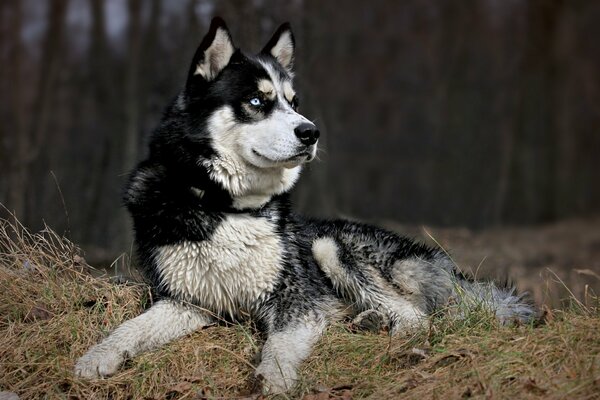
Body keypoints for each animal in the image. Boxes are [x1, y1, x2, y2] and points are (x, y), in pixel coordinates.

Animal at [72, 18, 536, 394]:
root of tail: (440, 262)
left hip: (330, 246)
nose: (311, 132)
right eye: (257, 102)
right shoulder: (189, 300)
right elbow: (130, 328)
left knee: (417, 316)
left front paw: (273, 379)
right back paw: (367, 320)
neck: (229, 207)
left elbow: (280, 344)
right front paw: (96, 357)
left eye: (293, 102)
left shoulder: (296, 300)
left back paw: (392, 332)